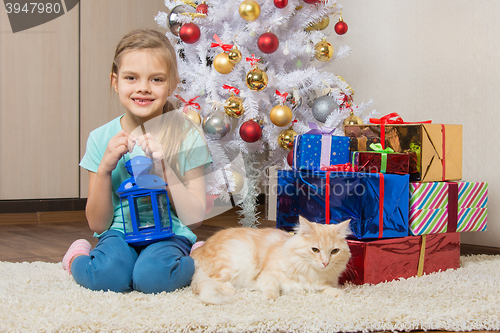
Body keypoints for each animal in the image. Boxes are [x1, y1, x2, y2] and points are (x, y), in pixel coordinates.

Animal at [189, 217, 350, 302]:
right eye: (315, 250)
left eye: (334, 251)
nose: (325, 263)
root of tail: (198, 250)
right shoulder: (267, 275)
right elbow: (273, 286)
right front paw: (269, 298)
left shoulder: (318, 285)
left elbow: (327, 289)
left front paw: (339, 293)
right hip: (240, 257)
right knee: (212, 280)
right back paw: (232, 291)